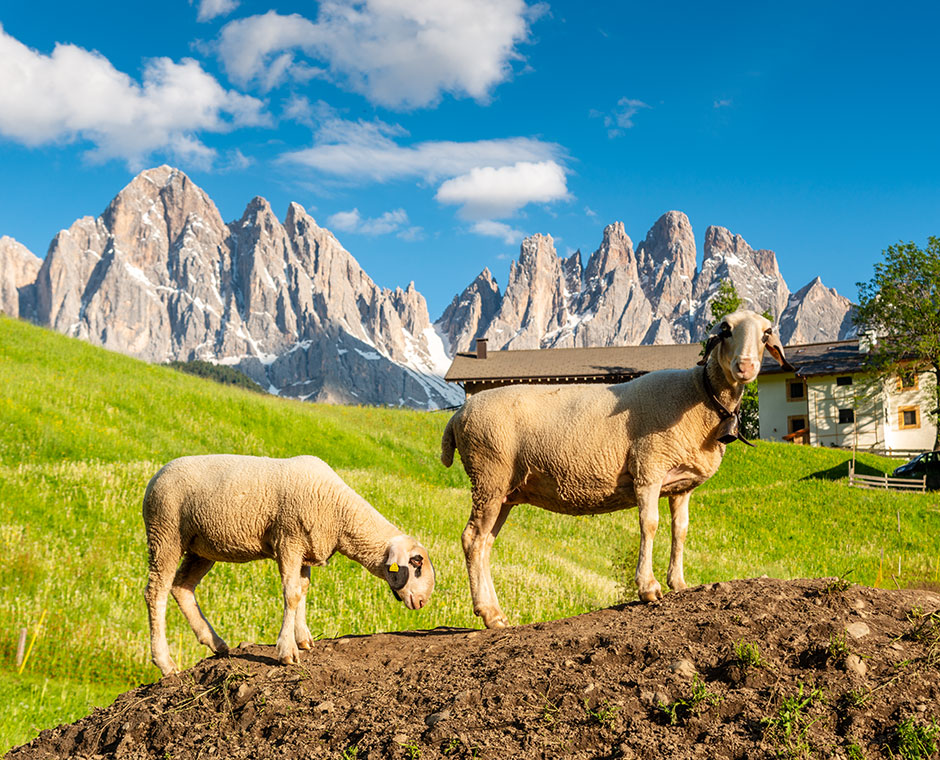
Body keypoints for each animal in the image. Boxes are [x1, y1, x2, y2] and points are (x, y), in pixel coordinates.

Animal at [143, 454, 435, 676]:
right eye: (416, 562)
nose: (422, 602)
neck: (339, 511)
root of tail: (156, 475)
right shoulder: (288, 540)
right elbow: (291, 594)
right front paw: (287, 651)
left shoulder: (305, 549)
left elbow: (302, 589)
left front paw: (303, 638)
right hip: (166, 533)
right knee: (156, 592)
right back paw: (165, 663)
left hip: (201, 546)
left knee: (182, 587)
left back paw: (216, 643)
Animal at [441, 310, 795, 628]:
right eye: (725, 330)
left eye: (766, 333)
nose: (745, 366)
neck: (699, 392)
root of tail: (457, 416)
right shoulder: (649, 467)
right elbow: (649, 524)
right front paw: (648, 588)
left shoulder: (681, 485)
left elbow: (680, 530)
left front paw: (679, 583)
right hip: (489, 474)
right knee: (472, 538)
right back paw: (489, 613)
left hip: (505, 490)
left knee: (485, 543)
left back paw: (495, 614)